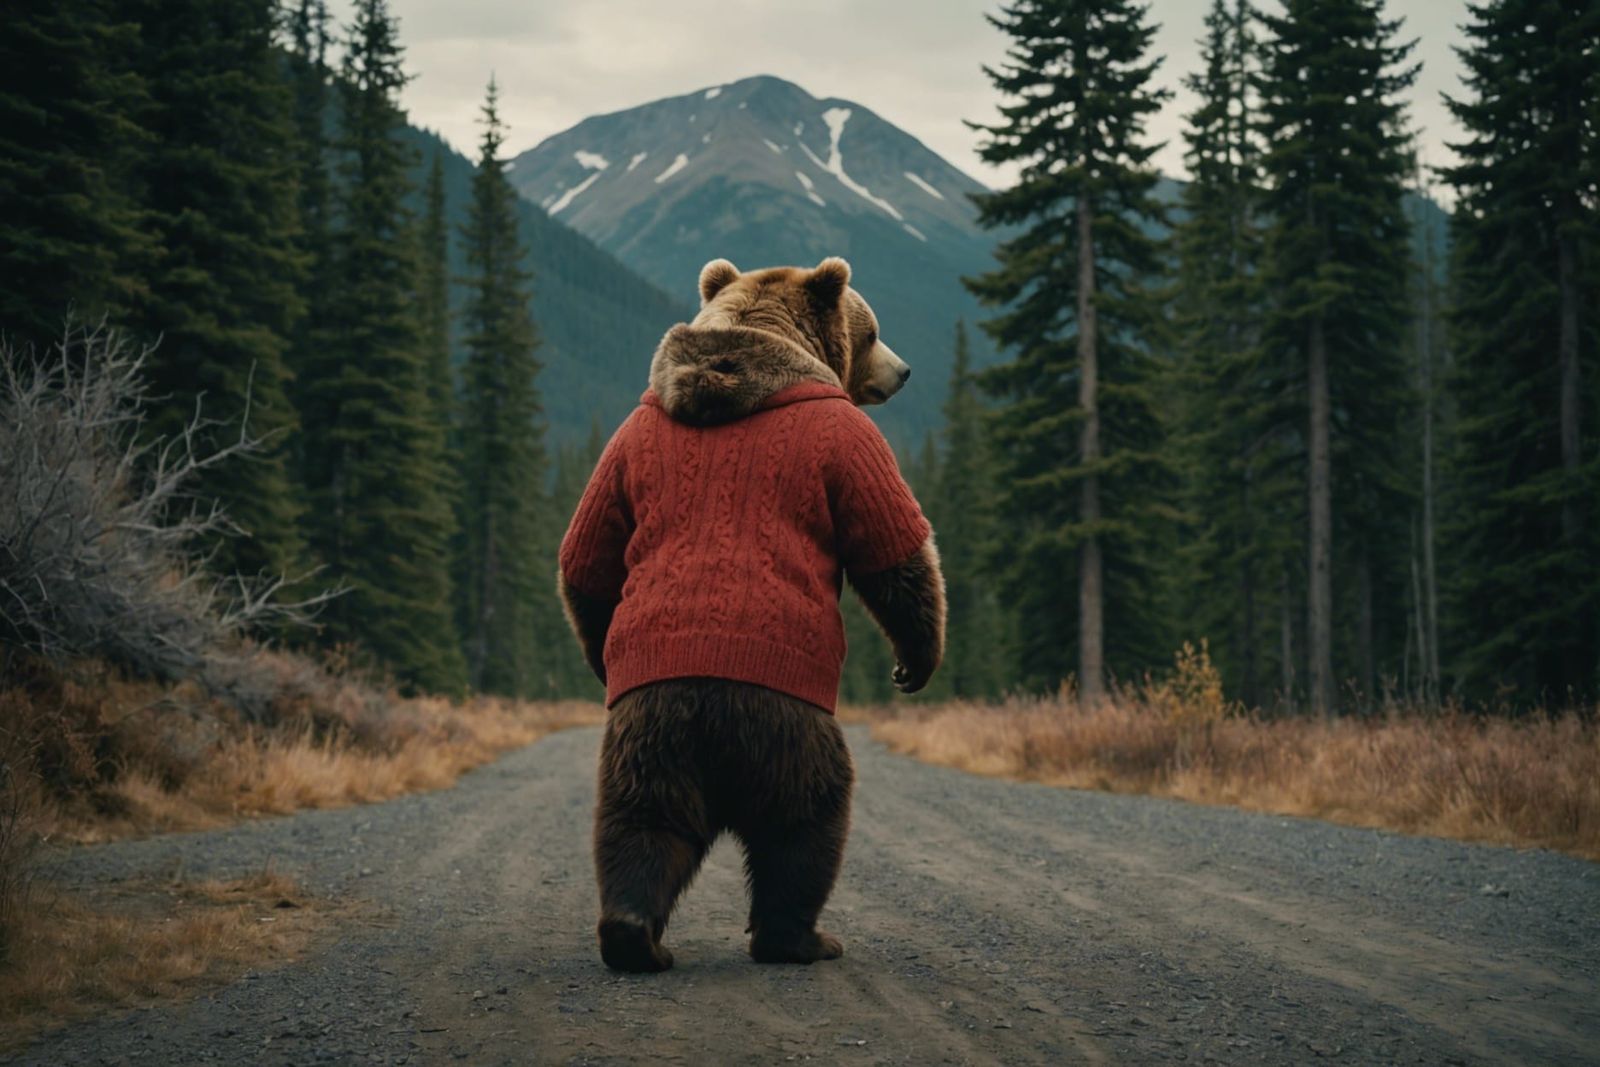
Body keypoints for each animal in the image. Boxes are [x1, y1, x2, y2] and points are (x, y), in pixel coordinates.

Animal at [558, 256, 945, 973]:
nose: (905, 370)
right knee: (807, 818)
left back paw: (633, 935)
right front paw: (916, 660)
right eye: (873, 331)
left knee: (640, 820)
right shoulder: (846, 437)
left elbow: (589, 551)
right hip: (789, 720)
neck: (748, 350)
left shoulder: (626, 443)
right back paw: (800, 936)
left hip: (649, 725)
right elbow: (889, 538)